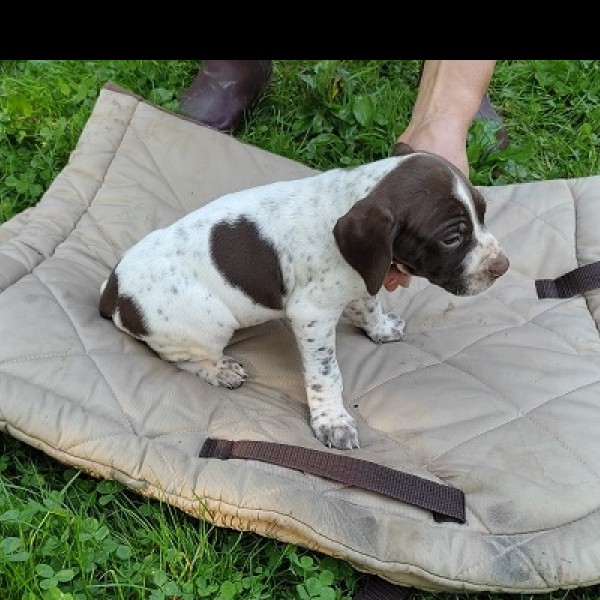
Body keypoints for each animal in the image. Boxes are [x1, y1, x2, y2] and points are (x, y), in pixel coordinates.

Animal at [99, 143, 510, 448]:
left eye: (483, 213)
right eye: (452, 238)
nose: (502, 266)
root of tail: (114, 292)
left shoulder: (364, 278)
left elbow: (368, 303)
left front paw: (379, 328)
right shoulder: (311, 316)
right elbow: (326, 374)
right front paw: (333, 421)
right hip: (208, 323)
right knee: (180, 357)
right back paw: (219, 370)